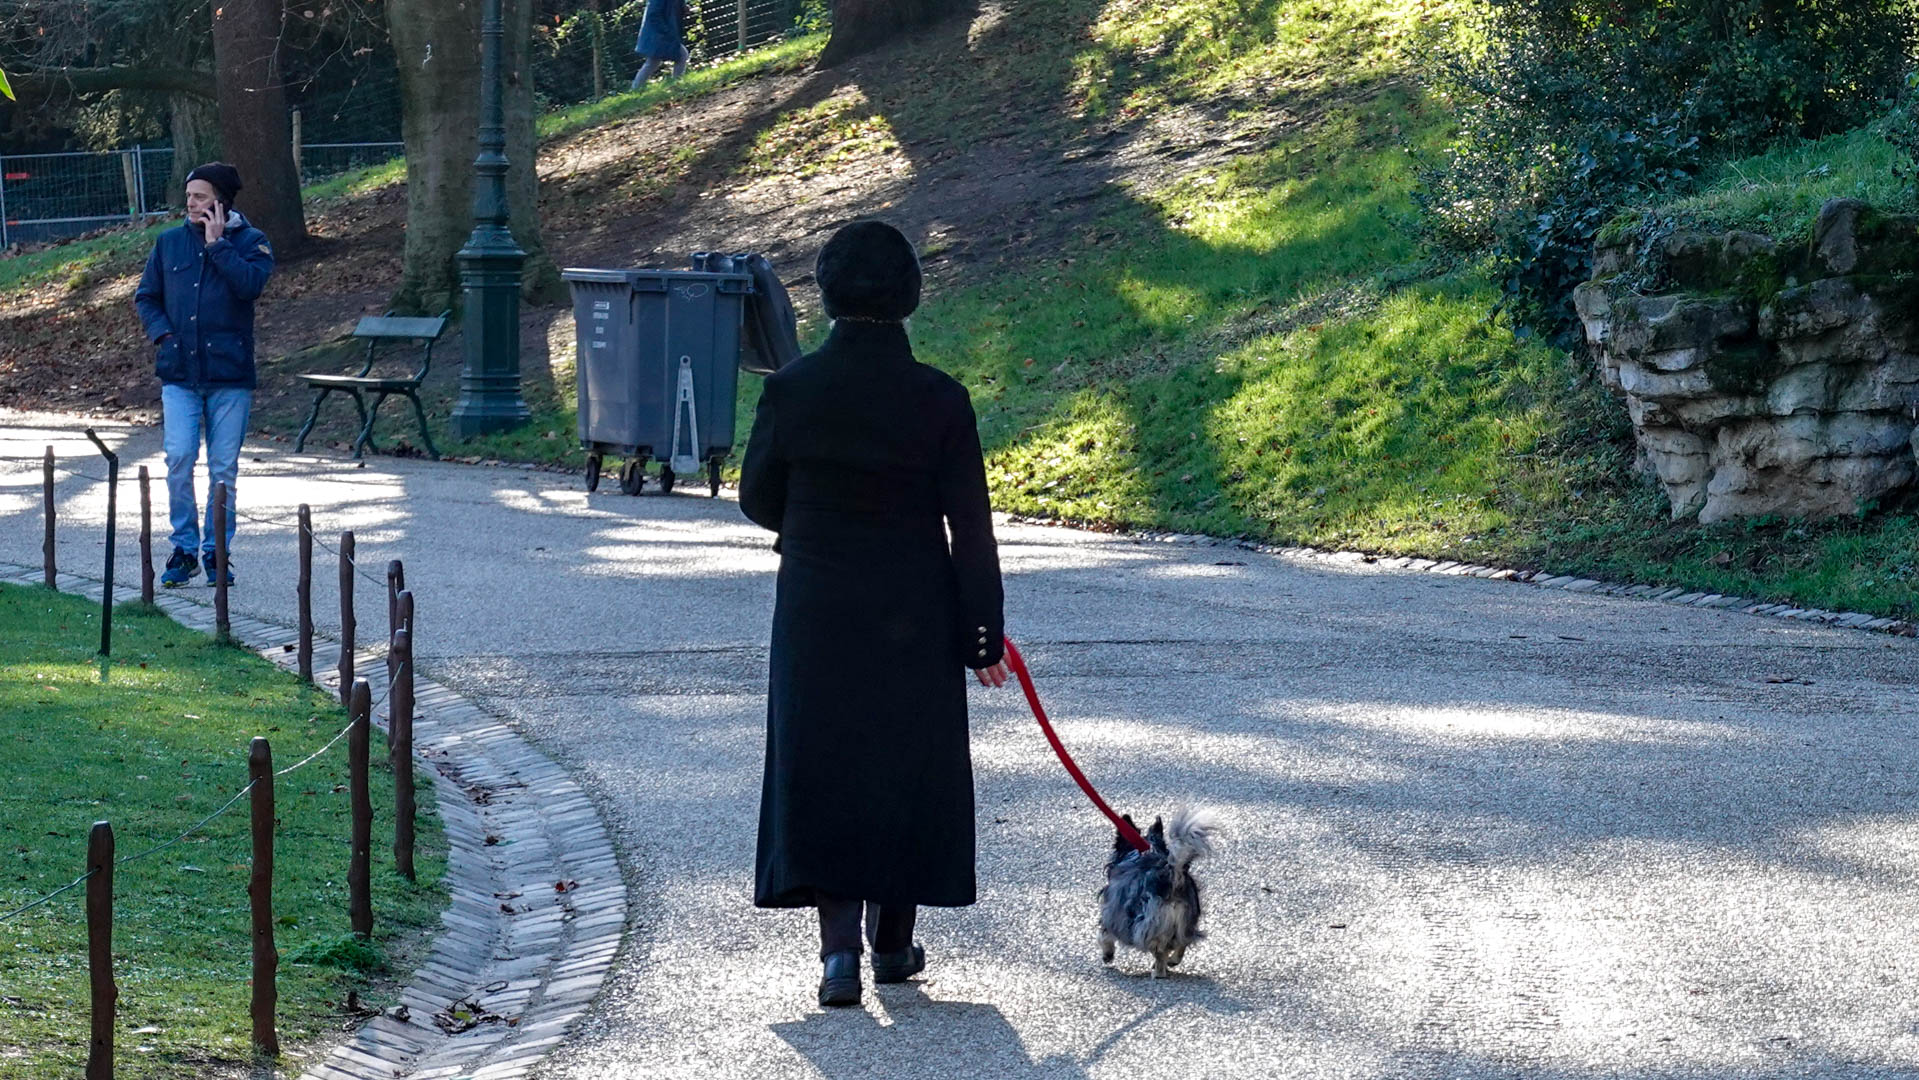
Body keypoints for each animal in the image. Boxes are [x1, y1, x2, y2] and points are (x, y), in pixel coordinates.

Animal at [1098, 807, 1219, 977]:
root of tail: (1173, 877)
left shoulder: (1113, 914)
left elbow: (1104, 935)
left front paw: (1107, 955)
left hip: (1148, 923)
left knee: (1160, 950)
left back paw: (1158, 972)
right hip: (1185, 922)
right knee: (1182, 943)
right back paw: (1172, 961)